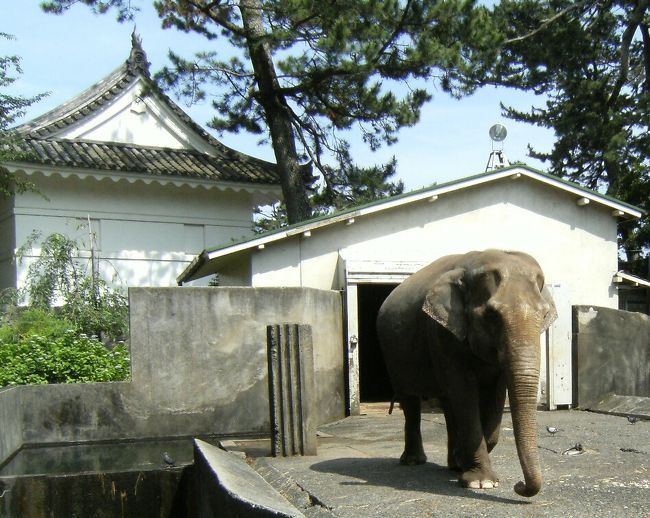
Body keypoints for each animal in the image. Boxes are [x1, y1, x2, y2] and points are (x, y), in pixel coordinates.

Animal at [376, 250, 557, 497]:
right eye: (491, 315)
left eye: (545, 314)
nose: (518, 485)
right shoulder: (441, 332)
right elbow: (464, 391)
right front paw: (481, 482)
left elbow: (494, 395)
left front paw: (465, 465)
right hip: (392, 355)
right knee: (411, 401)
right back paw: (413, 461)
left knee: (447, 405)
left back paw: (453, 465)